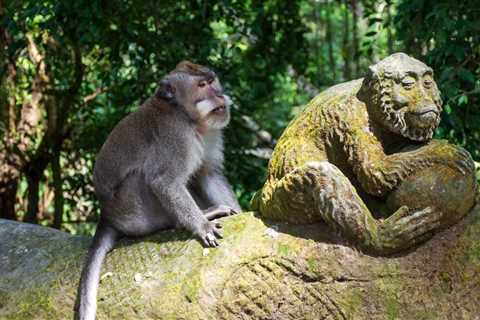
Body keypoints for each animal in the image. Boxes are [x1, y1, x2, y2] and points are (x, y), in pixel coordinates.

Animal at [75, 61, 242, 318]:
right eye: (202, 85)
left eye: (212, 80)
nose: (219, 94)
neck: (187, 116)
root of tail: (106, 215)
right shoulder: (174, 137)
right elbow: (164, 181)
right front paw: (202, 226)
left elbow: (209, 175)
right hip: (133, 211)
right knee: (144, 177)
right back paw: (196, 217)